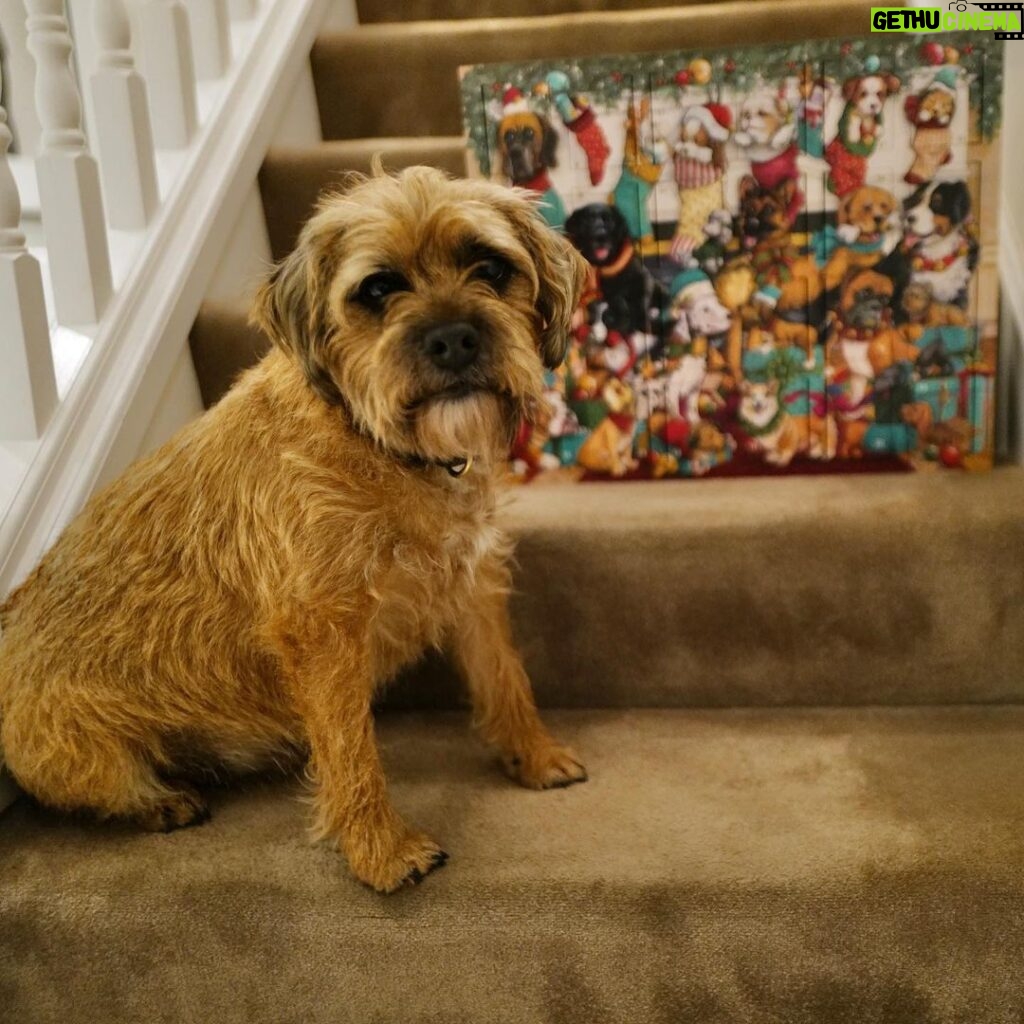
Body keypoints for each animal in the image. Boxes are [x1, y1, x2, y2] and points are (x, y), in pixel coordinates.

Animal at [0, 163, 589, 892]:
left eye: (491, 267)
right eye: (378, 288)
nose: (454, 337)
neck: (378, 441)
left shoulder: (473, 583)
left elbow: (506, 677)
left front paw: (534, 755)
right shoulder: (322, 634)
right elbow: (350, 750)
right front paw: (382, 851)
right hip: (84, 752)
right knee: (105, 791)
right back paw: (162, 803)